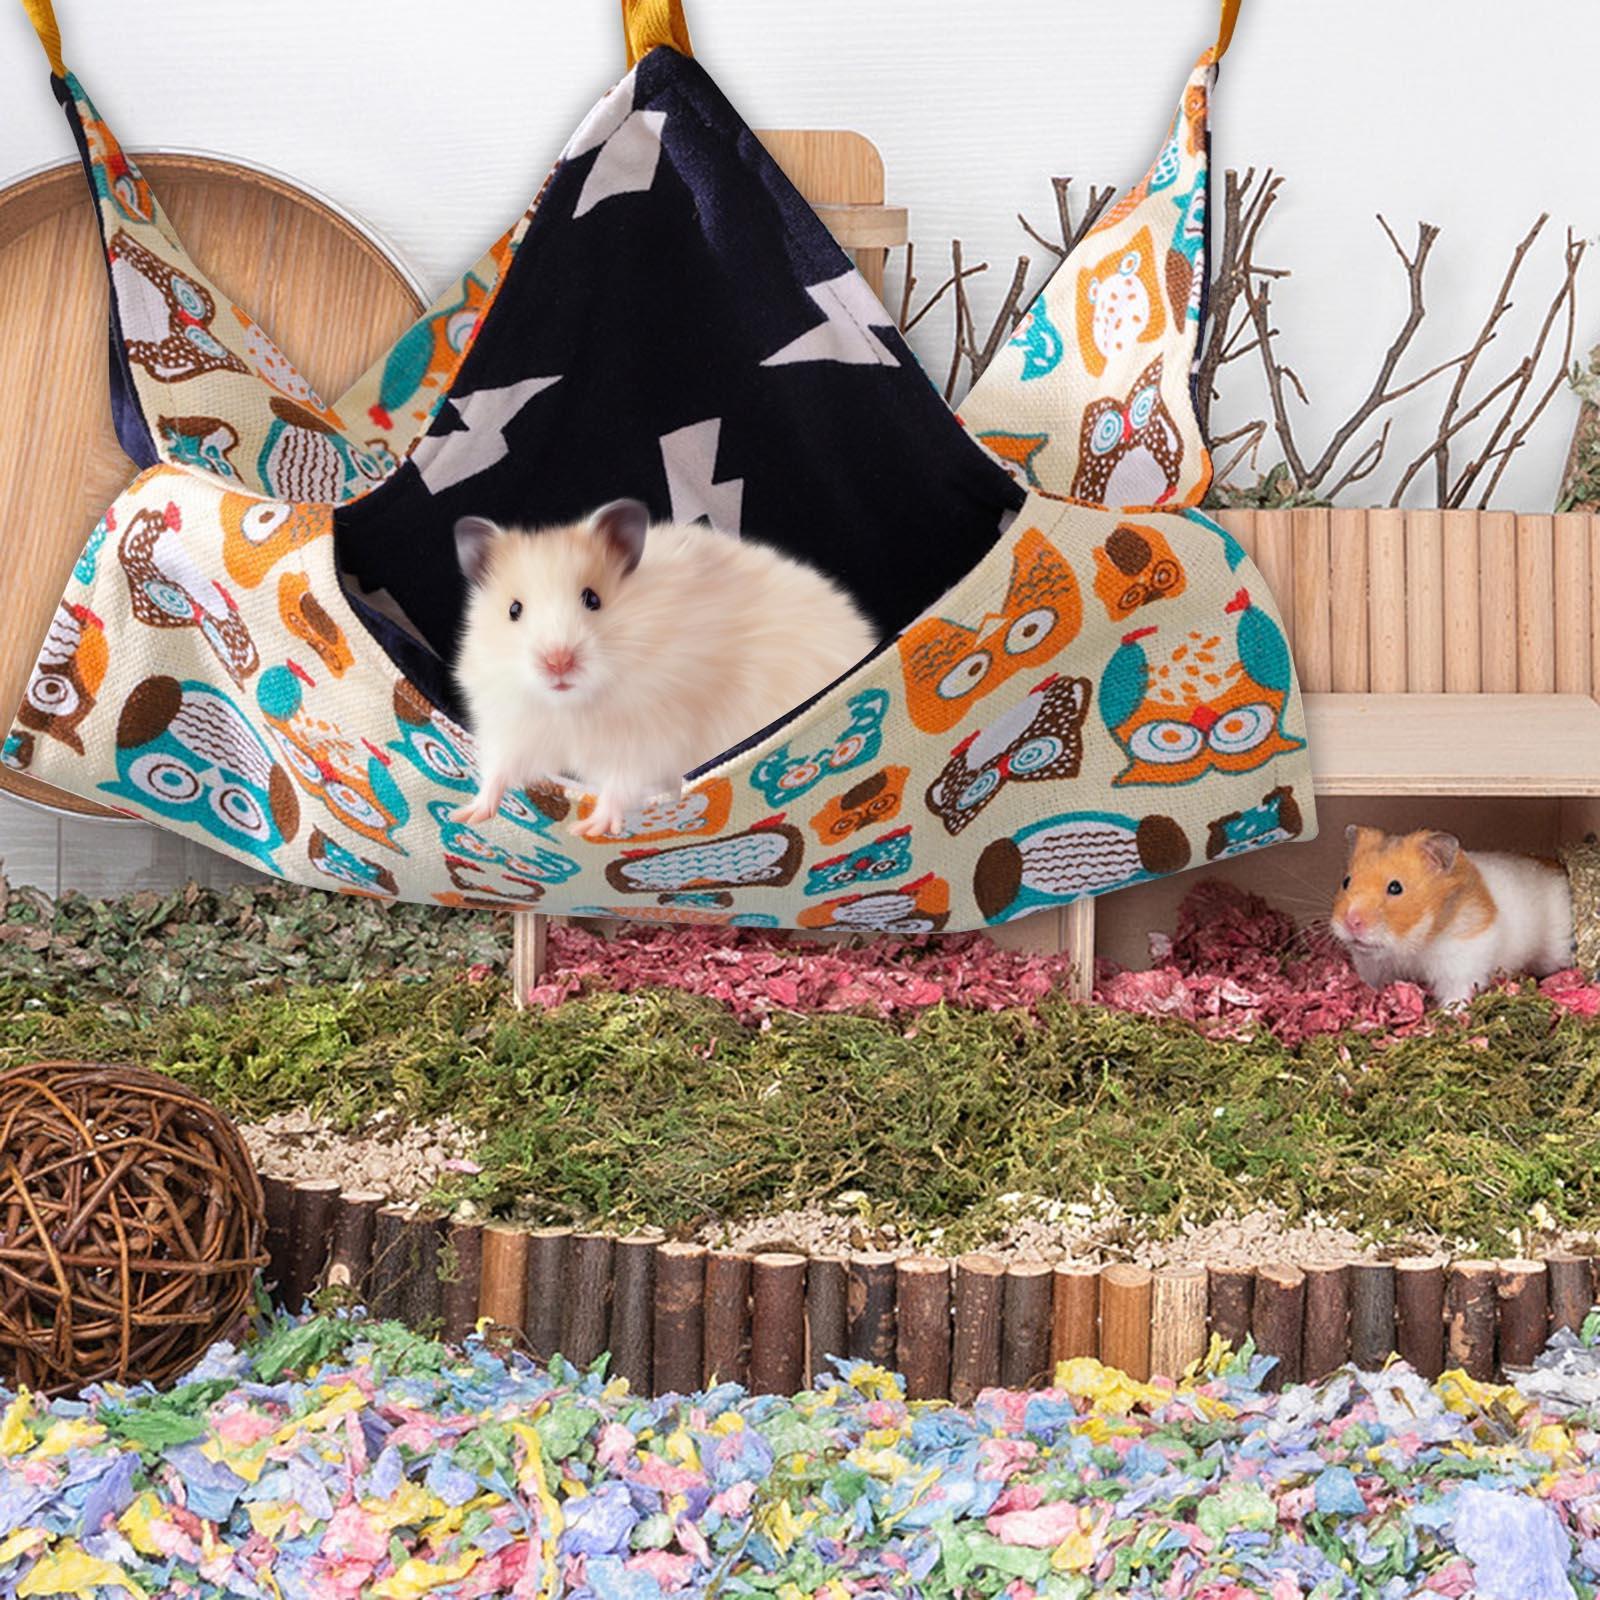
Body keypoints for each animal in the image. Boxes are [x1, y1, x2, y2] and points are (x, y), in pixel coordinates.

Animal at [450, 499, 878, 839]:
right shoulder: (512, 725)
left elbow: (622, 783)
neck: (574, 705)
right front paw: (467, 815)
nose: (557, 661)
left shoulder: (652, 738)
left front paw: (589, 828)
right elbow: (499, 769)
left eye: (593, 599)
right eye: (514, 609)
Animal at [1331, 825, 1574, 1007]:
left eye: (1395, 887)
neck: (1415, 943)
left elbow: (1456, 995)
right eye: (1346, 881)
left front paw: (1449, 1016)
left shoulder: (1461, 962)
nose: (1351, 922)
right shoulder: (1374, 967)